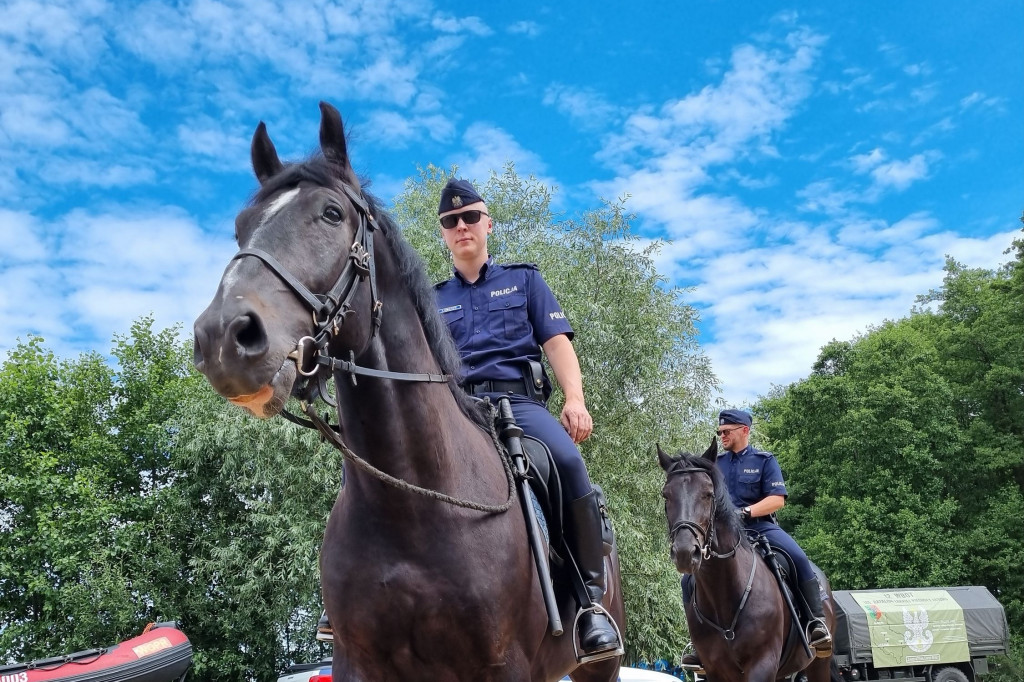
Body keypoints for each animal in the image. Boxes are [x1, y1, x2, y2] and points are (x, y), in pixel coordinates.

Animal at [192, 102, 622, 679]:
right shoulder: (357, 663)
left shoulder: (502, 665)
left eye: (332, 213)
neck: (412, 508)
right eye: (241, 229)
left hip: (598, 664)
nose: (223, 337)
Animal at [655, 438, 839, 675]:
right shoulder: (716, 670)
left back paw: (818, 630)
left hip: (819, 663)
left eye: (708, 493)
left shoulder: (762, 664)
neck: (725, 593)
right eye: (666, 495)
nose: (685, 552)